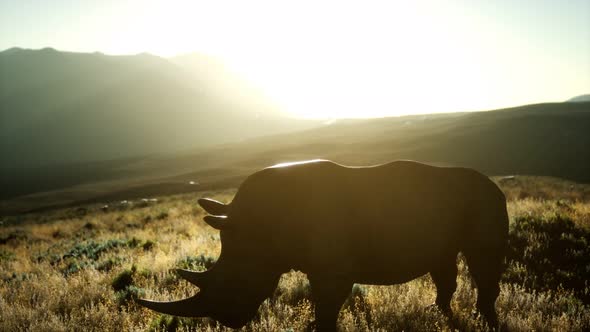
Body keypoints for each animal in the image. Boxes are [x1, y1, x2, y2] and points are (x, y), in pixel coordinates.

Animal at [139, 160, 508, 330]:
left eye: (236, 282)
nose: (231, 321)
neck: (256, 226)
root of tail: (496, 186)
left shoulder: (333, 270)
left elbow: (326, 308)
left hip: (485, 201)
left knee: (482, 261)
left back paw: (483, 321)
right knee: (442, 262)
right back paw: (438, 315)